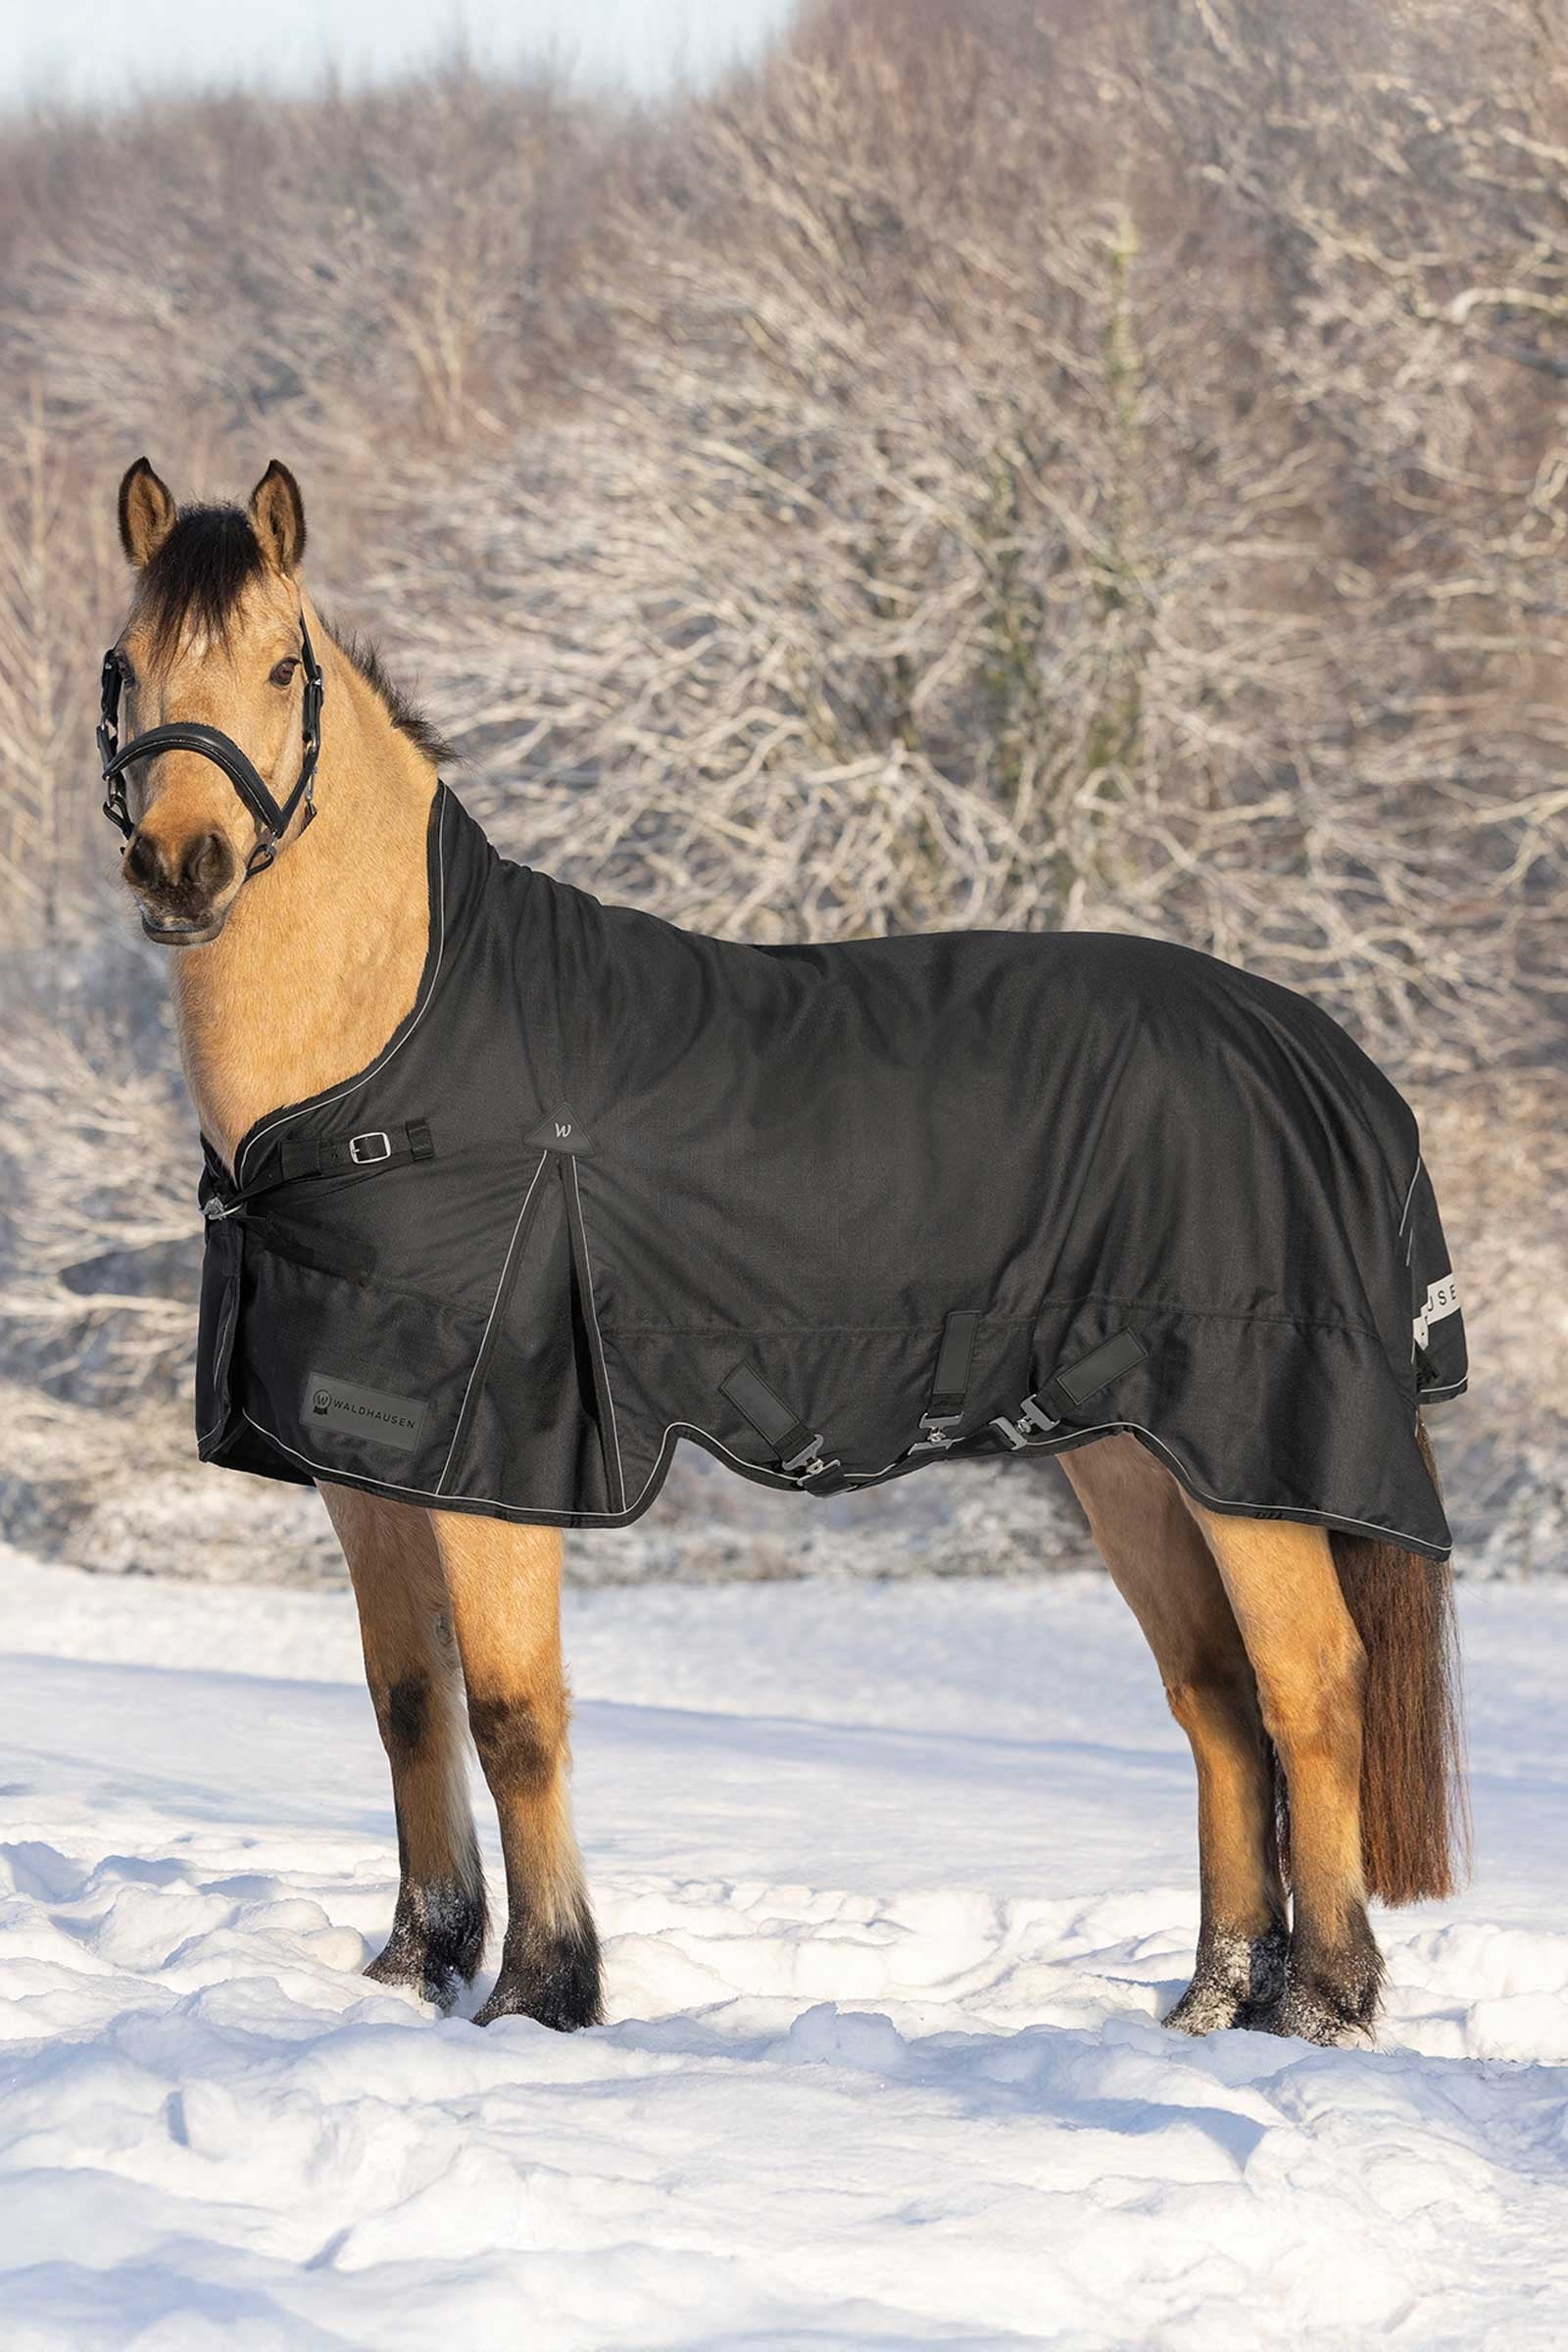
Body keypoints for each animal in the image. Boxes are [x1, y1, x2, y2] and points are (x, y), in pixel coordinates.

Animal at [101, 455, 1466, 2045]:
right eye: (127, 665)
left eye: (281, 664)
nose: (180, 868)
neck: (393, 1060)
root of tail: (1326, 1054)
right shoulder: (368, 1462)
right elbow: (407, 1703)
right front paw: (414, 1968)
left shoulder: (500, 1460)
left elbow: (512, 1711)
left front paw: (543, 1992)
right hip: (1133, 1454)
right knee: (1217, 1701)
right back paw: (1214, 2000)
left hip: (1249, 1455)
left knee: (1313, 1691)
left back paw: (1322, 2007)